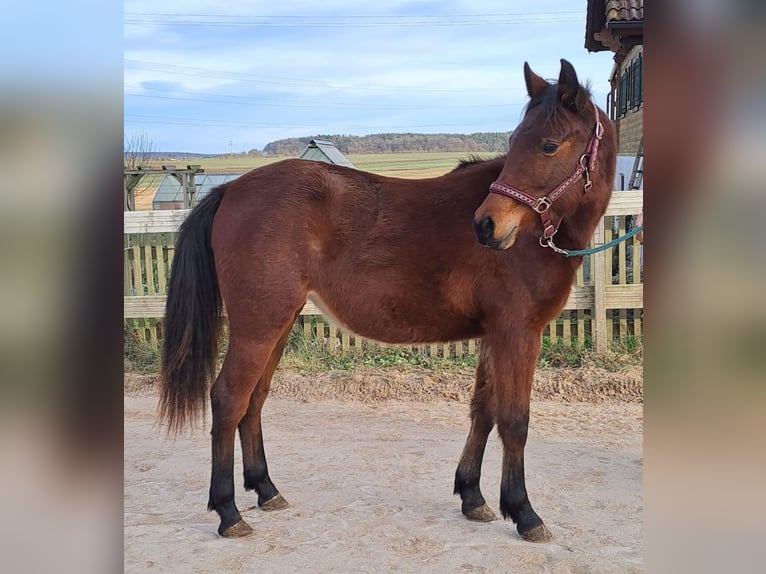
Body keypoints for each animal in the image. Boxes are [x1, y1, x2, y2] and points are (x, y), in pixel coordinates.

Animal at [160, 60, 616, 544]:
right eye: (515, 143)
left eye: (548, 144)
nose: (487, 225)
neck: (535, 236)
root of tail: (230, 190)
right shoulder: (518, 333)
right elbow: (514, 420)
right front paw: (524, 511)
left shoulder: (495, 335)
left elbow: (483, 410)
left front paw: (472, 496)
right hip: (257, 326)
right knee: (229, 398)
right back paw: (228, 511)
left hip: (276, 325)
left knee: (255, 397)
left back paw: (266, 489)